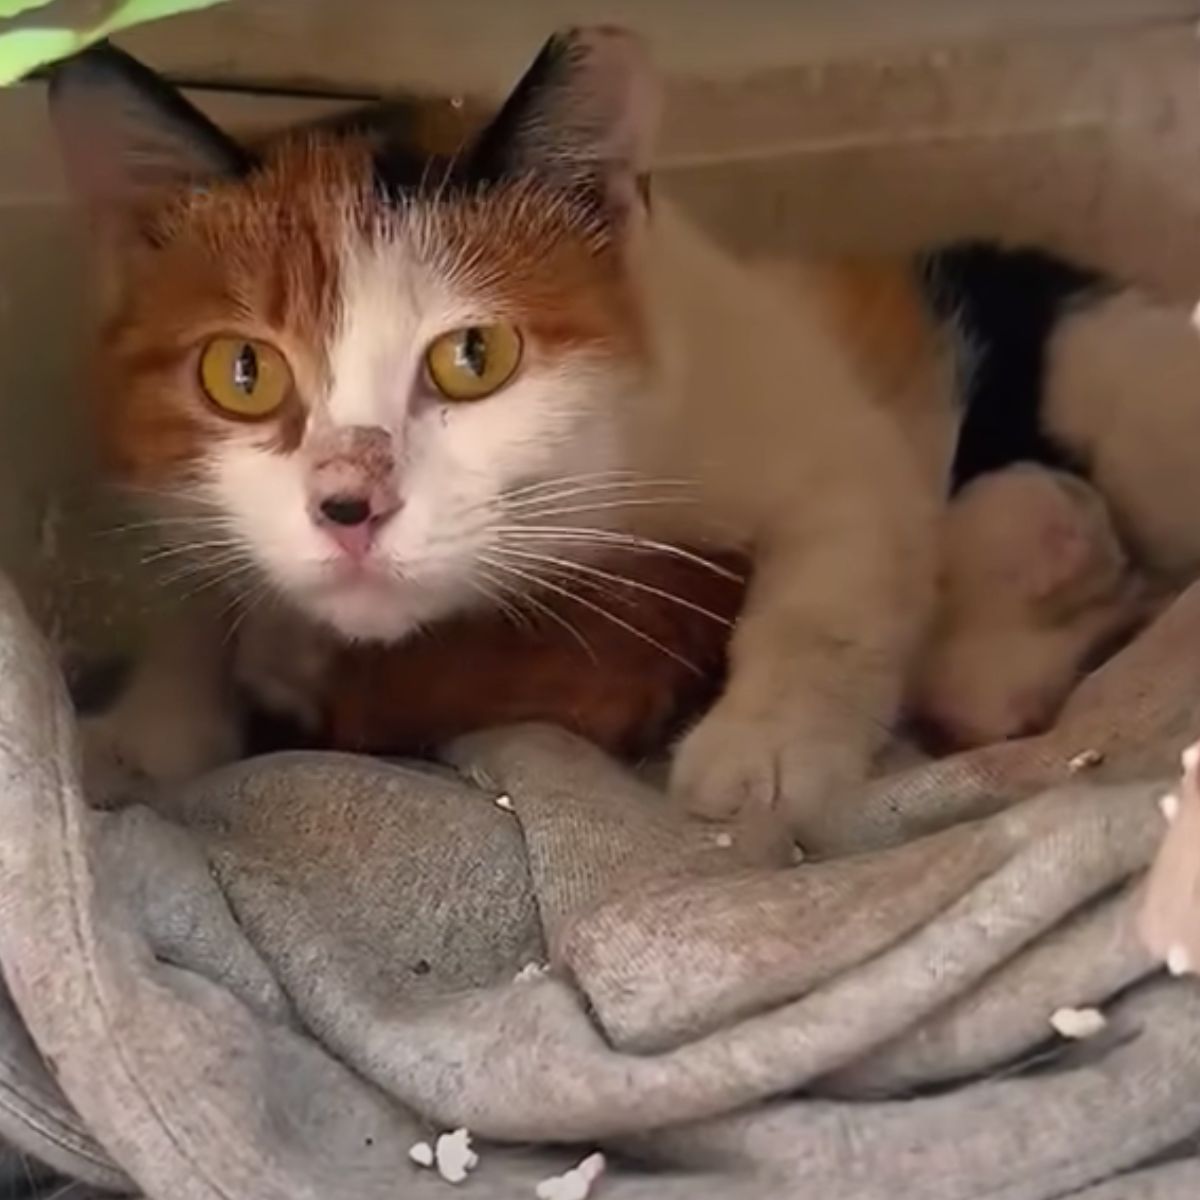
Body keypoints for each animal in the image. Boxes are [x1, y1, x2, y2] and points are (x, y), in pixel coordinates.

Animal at [49, 28, 1200, 835]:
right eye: (241, 372)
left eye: (475, 356)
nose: (349, 506)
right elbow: (195, 601)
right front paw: (144, 735)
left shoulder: (819, 434)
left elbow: (823, 594)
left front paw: (766, 754)